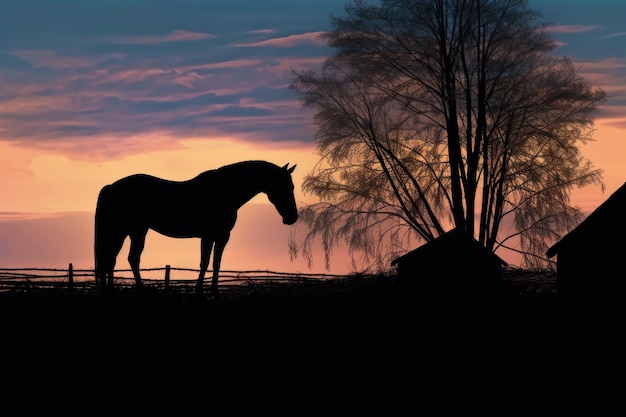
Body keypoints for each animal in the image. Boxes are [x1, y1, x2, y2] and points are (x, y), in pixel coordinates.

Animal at [93, 160, 298, 296]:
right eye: (286, 186)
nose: (293, 217)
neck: (223, 192)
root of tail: (110, 187)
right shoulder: (209, 236)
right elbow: (205, 262)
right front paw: (199, 289)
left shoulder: (221, 236)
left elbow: (216, 263)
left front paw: (213, 290)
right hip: (129, 230)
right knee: (125, 258)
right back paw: (137, 290)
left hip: (129, 231)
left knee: (112, 259)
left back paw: (110, 290)